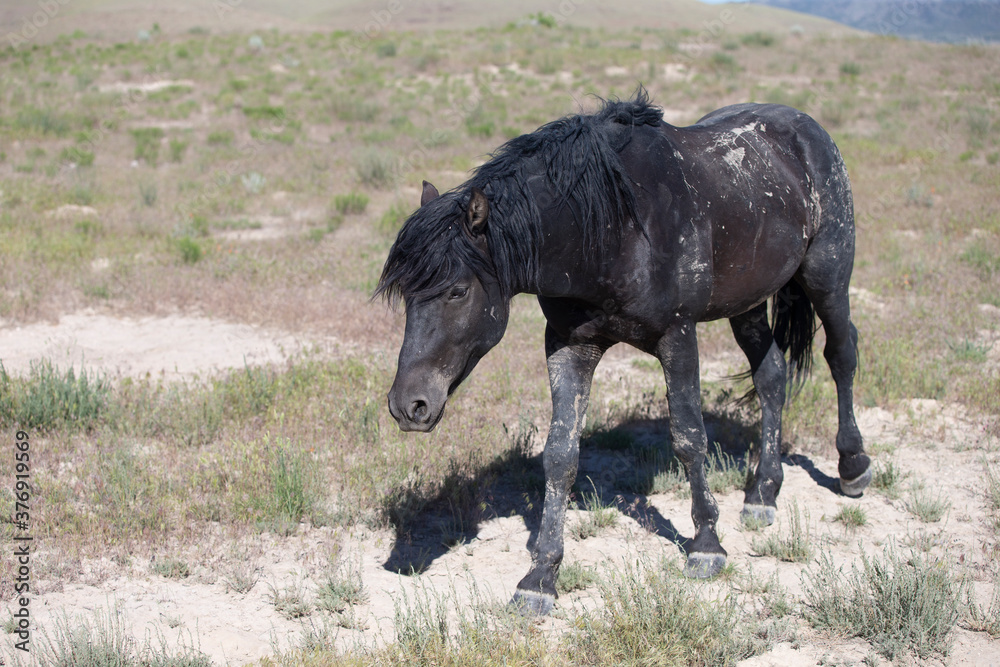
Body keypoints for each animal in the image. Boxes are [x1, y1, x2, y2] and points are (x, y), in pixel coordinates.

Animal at [375, 89, 871, 616]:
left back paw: (853, 467)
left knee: (842, 355)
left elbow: (689, 437)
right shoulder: (570, 346)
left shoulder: (678, 337)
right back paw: (762, 494)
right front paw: (540, 577)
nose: (408, 406)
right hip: (750, 303)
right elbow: (561, 455)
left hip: (828, 276)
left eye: (457, 291)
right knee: (772, 376)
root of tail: (803, 126)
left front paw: (706, 545)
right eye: (406, 294)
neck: (613, 231)